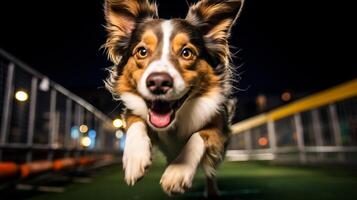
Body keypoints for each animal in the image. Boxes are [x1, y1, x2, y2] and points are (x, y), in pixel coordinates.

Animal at [102, 0, 242, 195]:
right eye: (142, 51)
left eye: (186, 52)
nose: (158, 82)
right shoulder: (133, 111)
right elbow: (136, 121)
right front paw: (135, 158)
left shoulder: (220, 126)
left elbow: (199, 135)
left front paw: (177, 172)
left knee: (210, 172)